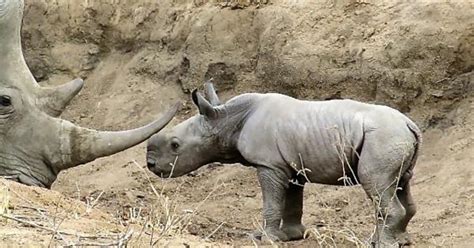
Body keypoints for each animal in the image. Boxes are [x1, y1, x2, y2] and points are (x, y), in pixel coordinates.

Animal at [146, 82, 420, 247]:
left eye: (175, 145)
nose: (150, 164)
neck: (225, 119)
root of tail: (410, 124)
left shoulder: (269, 165)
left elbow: (272, 203)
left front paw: (265, 238)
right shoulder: (292, 166)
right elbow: (292, 202)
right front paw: (291, 235)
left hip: (383, 139)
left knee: (375, 182)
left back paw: (381, 244)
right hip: (393, 138)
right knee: (399, 183)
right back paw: (400, 241)